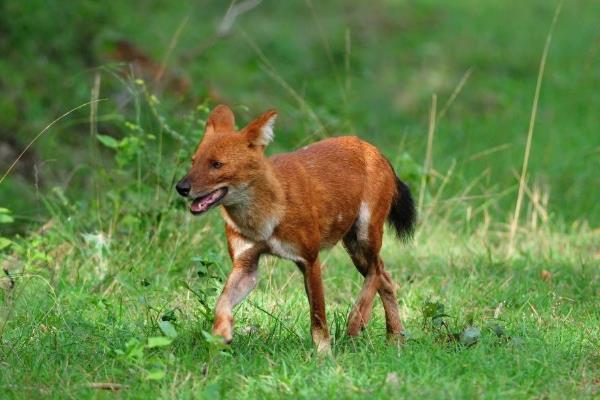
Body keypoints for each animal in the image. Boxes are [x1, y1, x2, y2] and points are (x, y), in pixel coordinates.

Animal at [176, 104, 414, 352]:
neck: (262, 219)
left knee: (376, 270)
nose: (181, 187)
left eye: (217, 164)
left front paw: (323, 354)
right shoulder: (246, 266)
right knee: (384, 276)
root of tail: (374, 149)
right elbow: (221, 302)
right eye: (193, 161)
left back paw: (357, 321)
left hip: (365, 234)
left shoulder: (309, 259)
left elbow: (318, 316)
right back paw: (395, 338)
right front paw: (220, 334)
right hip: (353, 246)